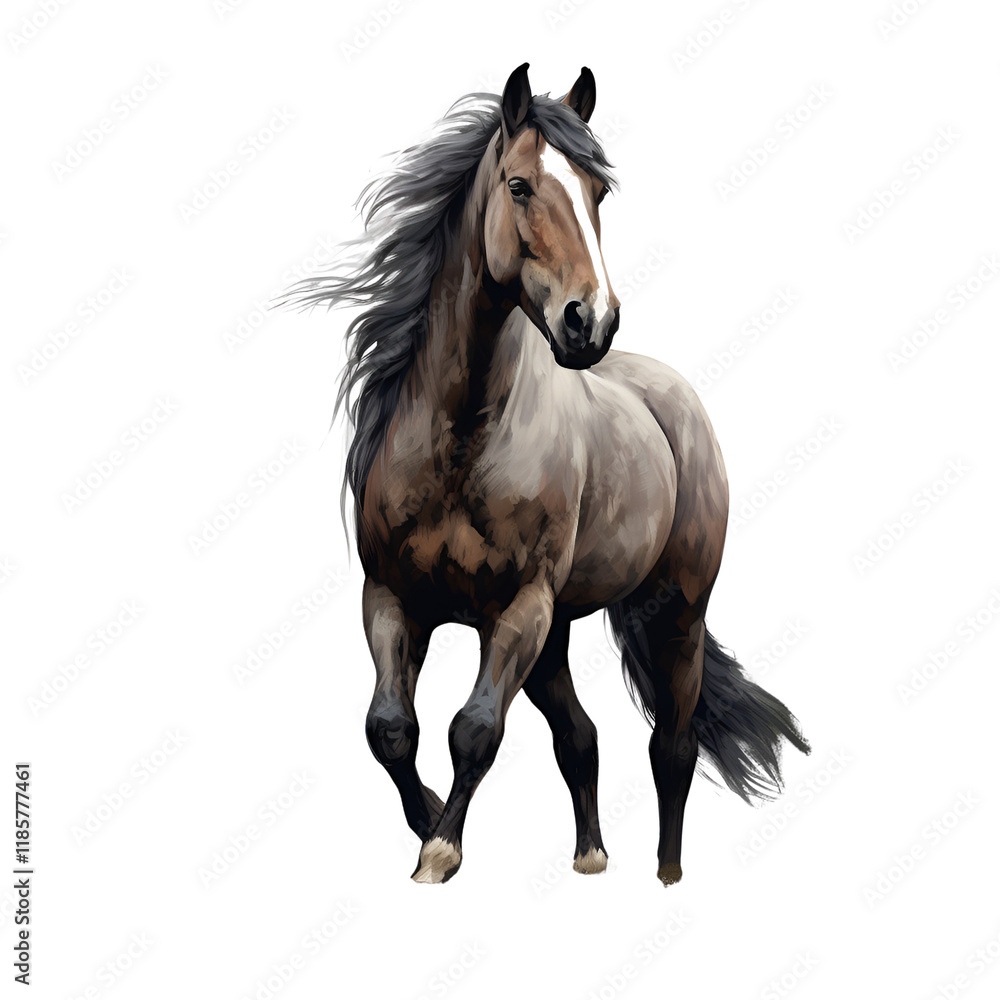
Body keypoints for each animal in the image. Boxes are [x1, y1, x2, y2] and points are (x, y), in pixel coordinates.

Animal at [284, 63, 809, 886]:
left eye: (598, 192)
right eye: (521, 185)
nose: (590, 321)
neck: (463, 441)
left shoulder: (520, 605)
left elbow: (474, 729)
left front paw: (440, 849)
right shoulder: (393, 597)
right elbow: (390, 729)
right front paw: (427, 821)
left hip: (676, 613)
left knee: (673, 745)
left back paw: (666, 875)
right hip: (557, 633)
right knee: (580, 734)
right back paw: (591, 855)